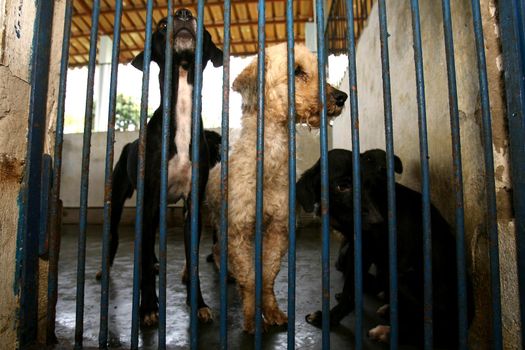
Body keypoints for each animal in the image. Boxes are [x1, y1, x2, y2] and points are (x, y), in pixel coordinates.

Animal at [105, 8, 222, 326]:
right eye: (161, 24)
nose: (183, 13)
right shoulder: (148, 200)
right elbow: (144, 260)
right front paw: (148, 307)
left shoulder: (192, 205)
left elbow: (192, 258)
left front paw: (199, 303)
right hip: (119, 200)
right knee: (121, 238)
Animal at [206, 42, 348, 332]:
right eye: (297, 71)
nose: (342, 97)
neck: (266, 167)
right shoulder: (237, 230)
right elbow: (249, 279)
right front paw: (252, 318)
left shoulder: (278, 230)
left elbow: (268, 275)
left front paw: (272, 311)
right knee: (216, 251)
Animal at [296, 148, 472, 348]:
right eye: (342, 186)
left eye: (368, 185)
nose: (377, 220)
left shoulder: (365, 246)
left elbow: (350, 288)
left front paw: (330, 318)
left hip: (404, 275)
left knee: (429, 328)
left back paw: (387, 332)